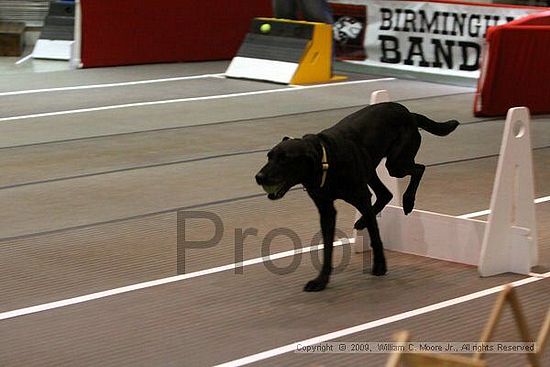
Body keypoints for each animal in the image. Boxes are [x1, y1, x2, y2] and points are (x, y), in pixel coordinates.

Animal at [256, 102, 460, 292]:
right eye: (269, 156)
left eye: (284, 159)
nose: (258, 177)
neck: (328, 160)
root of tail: (408, 112)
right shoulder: (326, 210)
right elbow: (328, 247)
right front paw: (321, 280)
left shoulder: (361, 197)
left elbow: (375, 235)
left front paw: (380, 266)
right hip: (372, 169)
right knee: (386, 194)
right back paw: (362, 221)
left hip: (396, 164)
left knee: (419, 169)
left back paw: (408, 202)